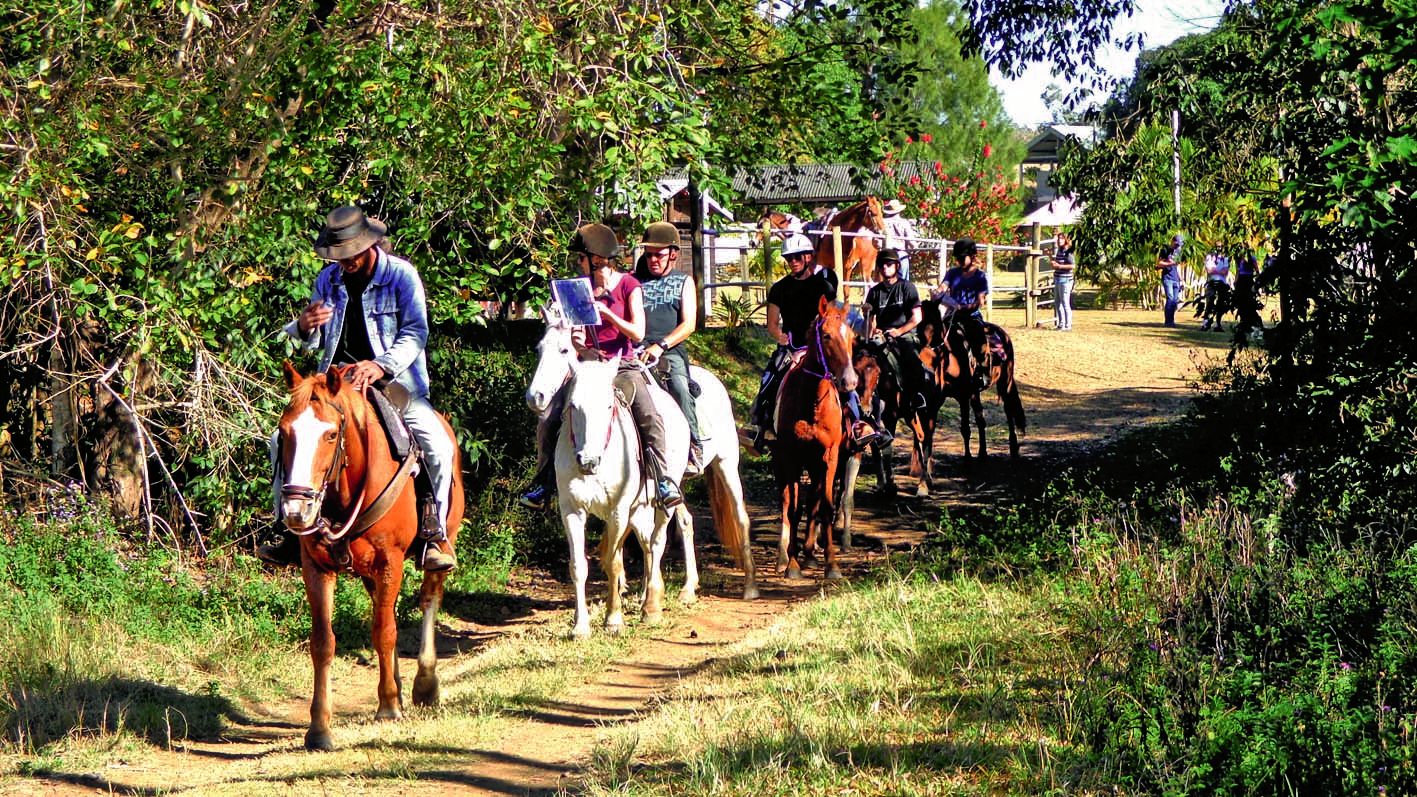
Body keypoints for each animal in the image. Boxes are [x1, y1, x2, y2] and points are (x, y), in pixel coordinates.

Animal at [279, 363, 467, 748]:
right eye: (284, 431)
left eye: (331, 435)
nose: (296, 511)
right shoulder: (316, 568)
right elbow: (324, 642)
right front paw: (319, 728)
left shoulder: (389, 561)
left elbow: (384, 631)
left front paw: (389, 707)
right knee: (388, 609)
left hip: (439, 546)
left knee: (428, 598)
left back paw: (424, 684)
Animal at [527, 303, 759, 601]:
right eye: (539, 348)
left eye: (564, 350)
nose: (536, 397)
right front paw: (625, 586)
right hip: (674, 481)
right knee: (684, 521)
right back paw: (687, 587)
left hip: (725, 464)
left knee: (740, 518)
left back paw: (749, 586)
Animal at [770, 297, 855, 575]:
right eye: (826, 336)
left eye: (851, 336)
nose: (850, 381)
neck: (812, 402)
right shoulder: (790, 456)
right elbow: (793, 509)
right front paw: (792, 565)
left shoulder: (830, 457)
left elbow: (825, 506)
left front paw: (831, 564)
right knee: (787, 502)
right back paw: (784, 557)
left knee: (815, 501)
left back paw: (809, 553)